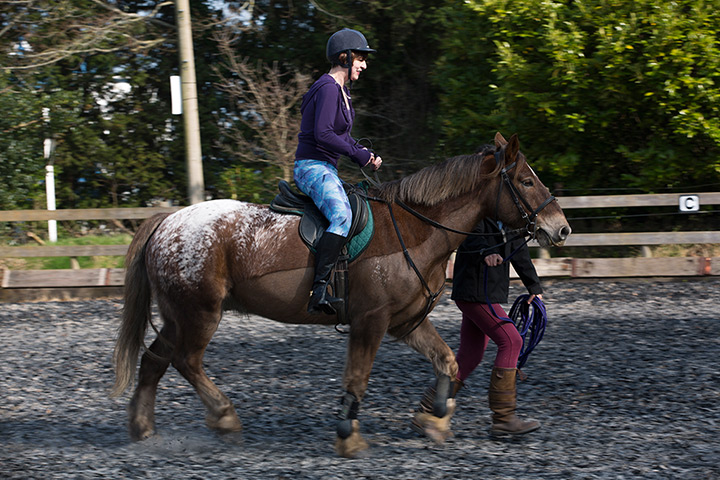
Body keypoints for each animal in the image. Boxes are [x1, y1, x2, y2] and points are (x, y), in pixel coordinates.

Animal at [111, 132, 571, 457]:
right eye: (526, 180)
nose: (561, 228)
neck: (417, 227)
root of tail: (169, 221)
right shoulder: (371, 321)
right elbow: (358, 377)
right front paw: (348, 436)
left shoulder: (405, 323)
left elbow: (448, 360)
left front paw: (437, 418)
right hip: (201, 314)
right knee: (186, 362)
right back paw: (224, 418)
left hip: (178, 315)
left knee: (154, 361)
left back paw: (142, 429)